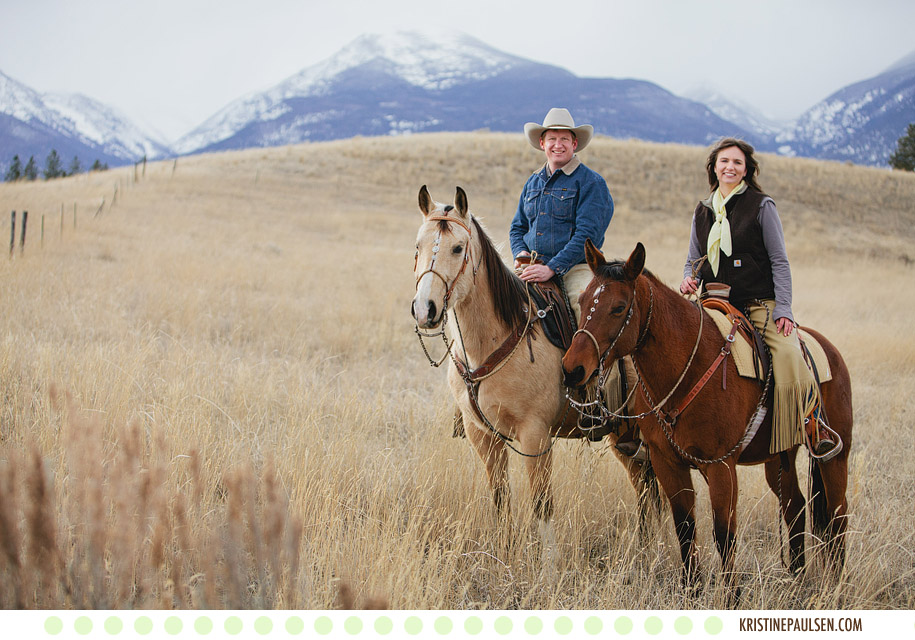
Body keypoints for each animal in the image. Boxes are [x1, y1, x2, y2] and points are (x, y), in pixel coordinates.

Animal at [410, 186, 660, 560]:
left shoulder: (535, 437)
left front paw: (548, 565)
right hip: (624, 437)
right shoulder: (483, 435)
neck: (496, 340)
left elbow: (543, 505)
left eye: (457, 248)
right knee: (645, 489)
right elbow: (501, 499)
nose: (425, 309)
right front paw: (503, 554)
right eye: (418, 245)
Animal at [560, 240, 856, 600]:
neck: (688, 368)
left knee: (837, 514)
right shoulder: (667, 464)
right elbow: (685, 527)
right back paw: (796, 576)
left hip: (835, 457)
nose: (572, 369)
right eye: (584, 300)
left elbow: (724, 532)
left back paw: (836, 584)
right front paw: (692, 590)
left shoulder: (721, 466)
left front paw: (731, 597)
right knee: (795, 507)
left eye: (618, 307)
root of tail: (829, 349)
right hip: (779, 457)